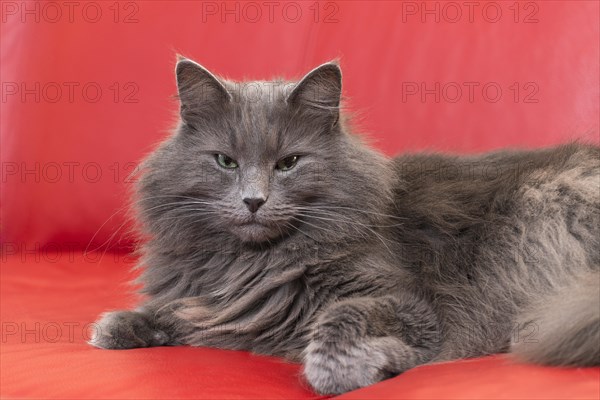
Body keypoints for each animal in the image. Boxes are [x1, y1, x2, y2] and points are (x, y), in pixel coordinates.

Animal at [90, 57, 600, 396]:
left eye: (289, 163)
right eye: (225, 161)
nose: (253, 200)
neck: (252, 266)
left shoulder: (411, 303)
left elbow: (341, 318)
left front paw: (353, 370)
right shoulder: (212, 302)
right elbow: (178, 310)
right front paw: (118, 326)